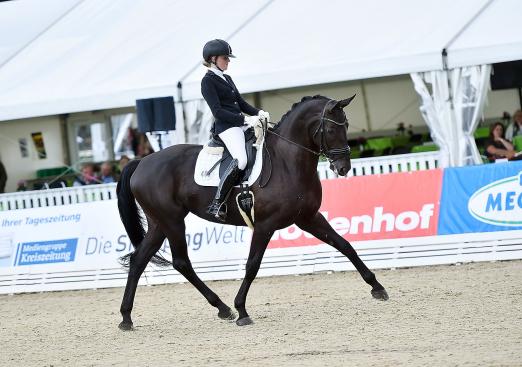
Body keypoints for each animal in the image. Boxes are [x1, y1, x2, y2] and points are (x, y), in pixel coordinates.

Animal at [118, 95, 386, 330]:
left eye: (347, 125)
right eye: (330, 130)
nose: (343, 168)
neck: (288, 162)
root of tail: (142, 162)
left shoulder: (308, 218)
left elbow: (344, 245)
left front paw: (377, 287)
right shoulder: (265, 225)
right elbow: (252, 265)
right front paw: (242, 310)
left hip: (159, 223)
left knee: (139, 260)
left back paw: (127, 318)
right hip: (172, 221)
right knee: (181, 262)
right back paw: (224, 307)